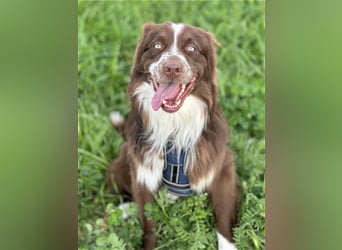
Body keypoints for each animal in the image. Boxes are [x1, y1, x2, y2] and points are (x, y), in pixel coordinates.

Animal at [106, 22, 238, 250]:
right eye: (157, 45)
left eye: (192, 49)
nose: (172, 68)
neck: (174, 124)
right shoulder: (144, 172)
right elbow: (148, 223)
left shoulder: (222, 167)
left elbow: (223, 218)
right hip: (122, 163)